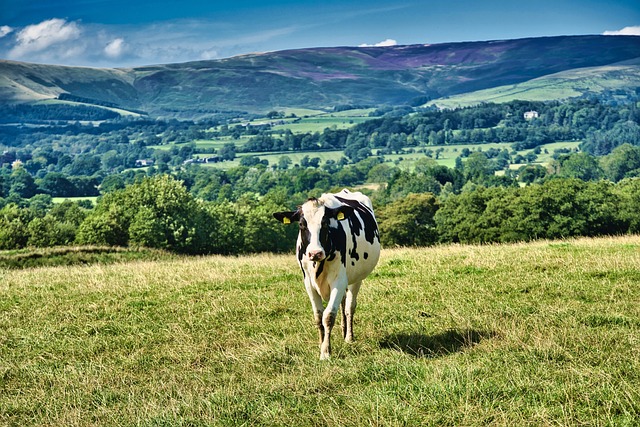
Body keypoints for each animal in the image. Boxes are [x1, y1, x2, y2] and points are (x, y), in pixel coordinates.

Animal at [272, 189, 380, 360]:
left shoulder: (339, 281)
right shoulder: (308, 283)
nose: (315, 253)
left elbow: (328, 316)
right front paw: (321, 344)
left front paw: (326, 351)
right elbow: (318, 316)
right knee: (343, 303)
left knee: (349, 307)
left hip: (356, 278)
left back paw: (348, 337)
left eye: (325, 223)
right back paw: (343, 332)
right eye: (301, 224)